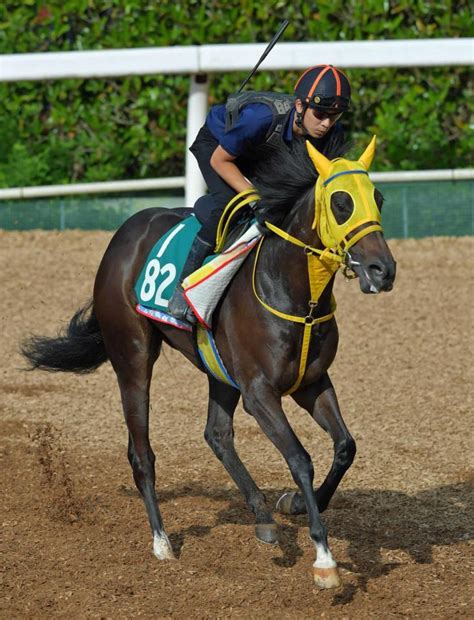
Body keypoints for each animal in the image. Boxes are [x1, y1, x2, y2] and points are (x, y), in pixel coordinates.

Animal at [21, 136, 396, 592]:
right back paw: (162, 542)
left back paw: (262, 516)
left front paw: (292, 505)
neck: (295, 293)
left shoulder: (312, 383)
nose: (383, 270)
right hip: (133, 356)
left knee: (216, 434)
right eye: (341, 202)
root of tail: (125, 232)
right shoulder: (259, 393)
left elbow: (345, 446)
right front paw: (323, 558)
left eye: (378, 198)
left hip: (220, 372)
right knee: (141, 453)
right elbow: (299, 459)